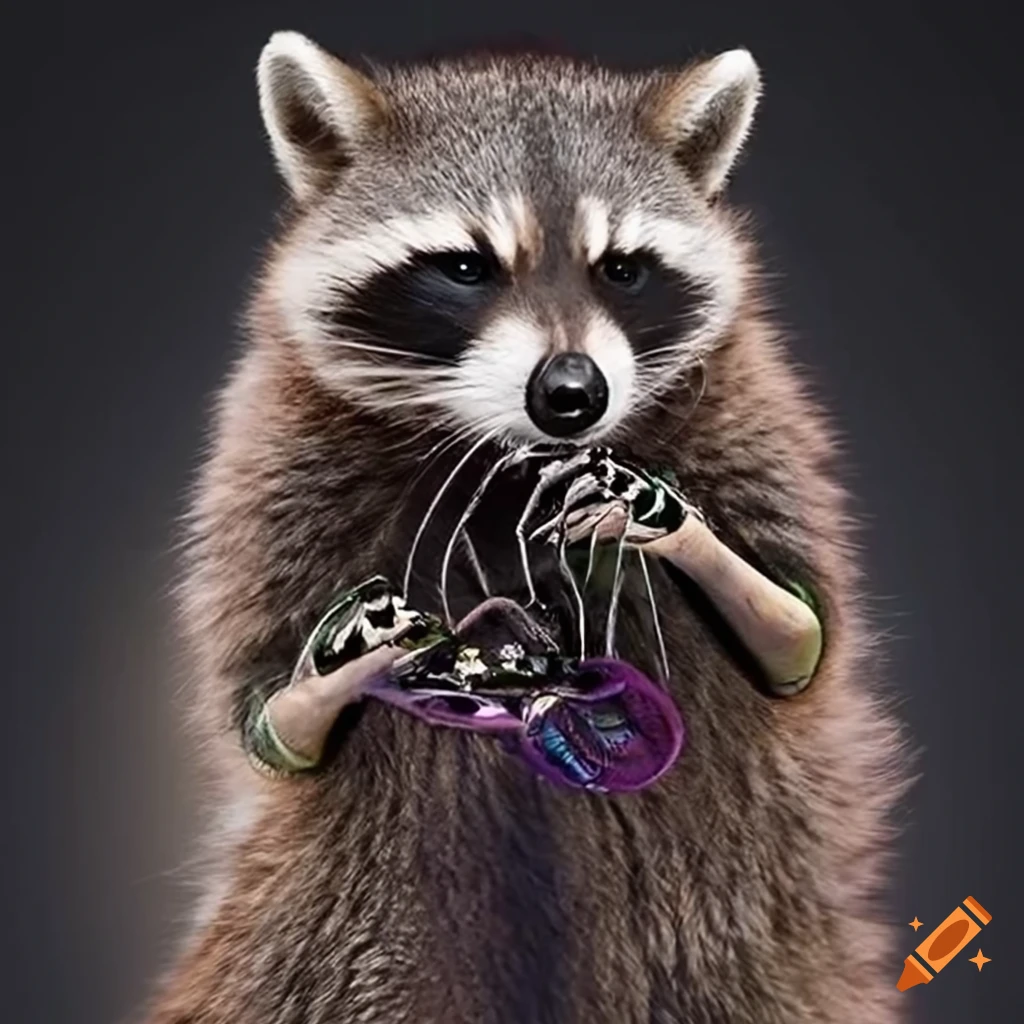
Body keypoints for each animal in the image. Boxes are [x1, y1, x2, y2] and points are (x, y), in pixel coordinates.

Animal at [143, 31, 906, 1024]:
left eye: (621, 267)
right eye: (467, 267)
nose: (573, 394)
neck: (516, 458)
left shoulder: (750, 410)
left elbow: (797, 639)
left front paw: (658, 520)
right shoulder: (274, 453)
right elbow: (272, 721)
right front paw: (344, 657)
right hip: (342, 920)